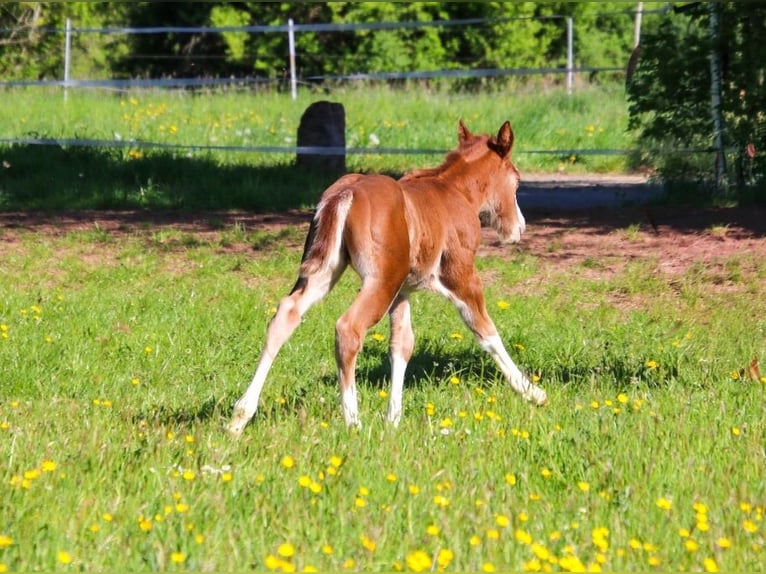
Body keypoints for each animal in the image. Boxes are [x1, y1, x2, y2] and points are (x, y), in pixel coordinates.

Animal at [228, 120, 547, 436]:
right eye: (517, 180)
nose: (519, 228)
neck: (455, 192)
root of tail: (346, 192)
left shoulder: (402, 291)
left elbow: (402, 345)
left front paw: (393, 419)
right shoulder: (461, 274)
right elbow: (485, 330)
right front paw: (533, 392)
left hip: (327, 272)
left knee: (286, 315)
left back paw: (239, 417)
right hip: (380, 282)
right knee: (348, 329)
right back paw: (353, 422)